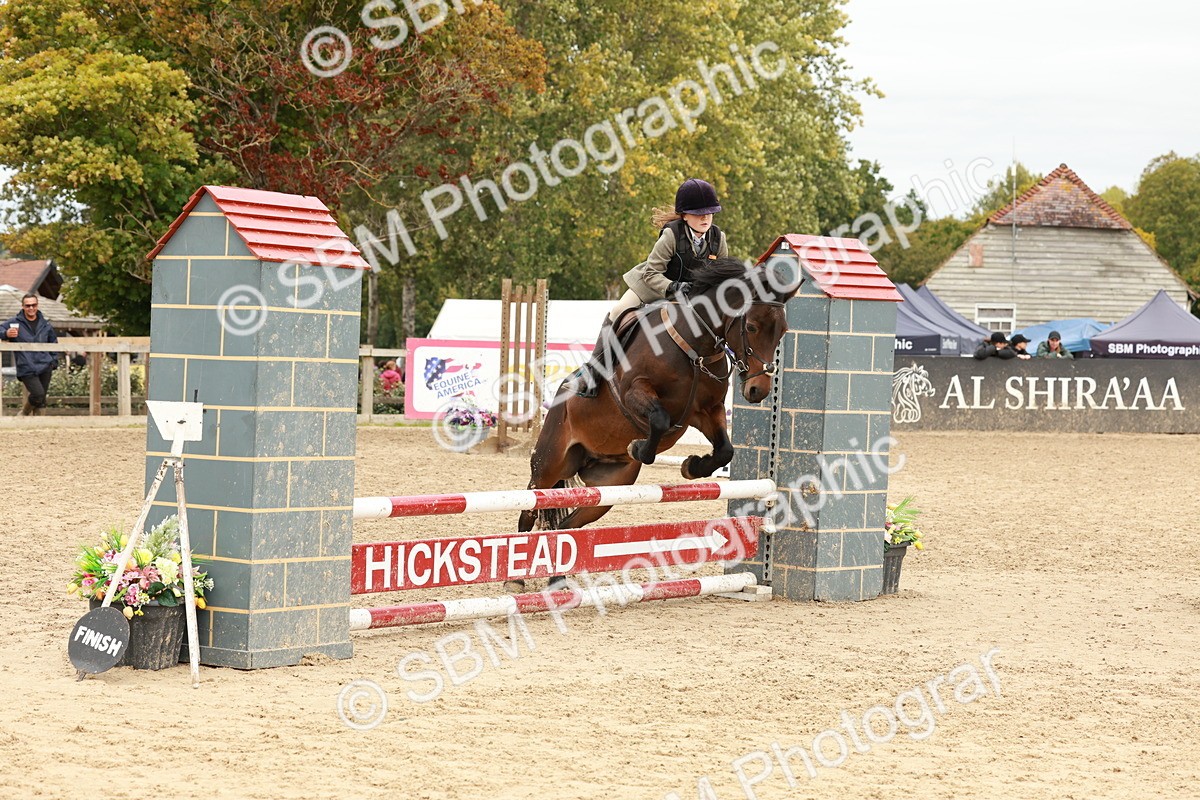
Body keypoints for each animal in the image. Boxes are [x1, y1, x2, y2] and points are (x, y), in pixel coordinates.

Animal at [517, 258, 799, 545]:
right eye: (751, 327)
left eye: (783, 331)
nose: (758, 390)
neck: (696, 347)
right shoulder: (635, 391)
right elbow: (660, 419)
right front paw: (638, 448)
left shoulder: (707, 410)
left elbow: (725, 450)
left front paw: (692, 466)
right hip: (548, 465)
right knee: (529, 510)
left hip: (608, 489)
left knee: (568, 525)